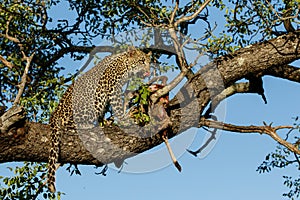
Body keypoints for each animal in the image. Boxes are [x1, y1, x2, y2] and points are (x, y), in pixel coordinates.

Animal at [47, 47, 151, 193]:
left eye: (149, 62)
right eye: (142, 61)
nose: (149, 70)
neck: (124, 65)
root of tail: (54, 116)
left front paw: (107, 121)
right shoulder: (113, 88)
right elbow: (117, 107)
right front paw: (124, 119)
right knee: (71, 125)